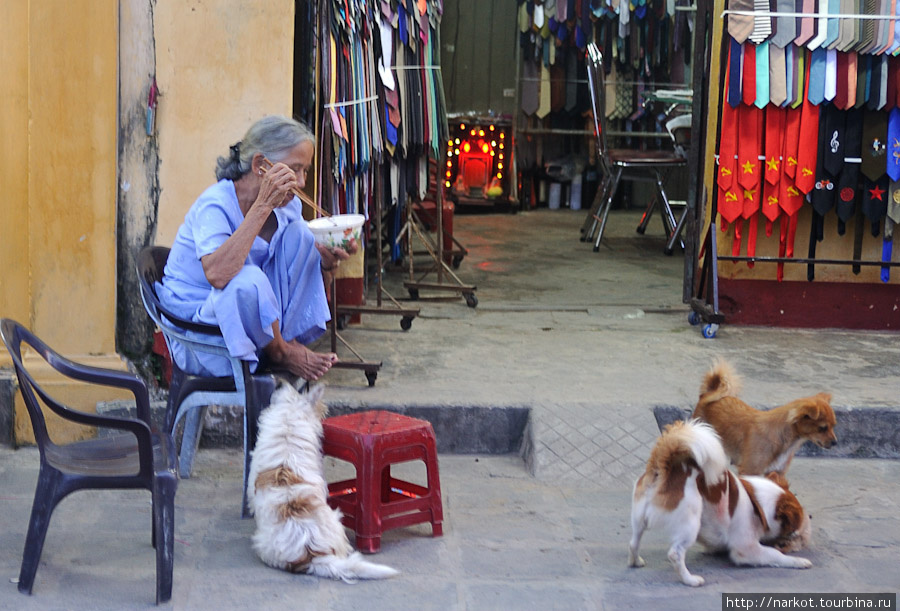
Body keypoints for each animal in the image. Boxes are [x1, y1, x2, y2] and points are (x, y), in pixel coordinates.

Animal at [628, 420, 812, 588]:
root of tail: (664, 469)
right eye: (793, 530)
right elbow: (775, 554)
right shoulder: (746, 548)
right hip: (690, 522)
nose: (809, 518)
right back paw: (690, 580)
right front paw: (798, 561)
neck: (757, 503)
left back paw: (635, 562)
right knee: (675, 554)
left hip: (638, 518)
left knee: (633, 542)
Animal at [688, 360, 836, 476]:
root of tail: (707, 394)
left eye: (834, 426)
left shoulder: (777, 473)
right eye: (822, 428)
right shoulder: (750, 471)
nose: (835, 442)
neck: (785, 439)